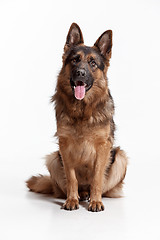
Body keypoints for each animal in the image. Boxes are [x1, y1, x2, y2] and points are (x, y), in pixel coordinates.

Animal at [26, 23, 129, 212]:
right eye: (75, 60)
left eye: (93, 63)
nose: (80, 73)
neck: (82, 110)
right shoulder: (64, 146)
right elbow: (72, 177)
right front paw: (71, 200)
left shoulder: (103, 147)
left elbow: (97, 178)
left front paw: (96, 201)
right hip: (53, 159)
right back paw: (80, 195)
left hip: (120, 157)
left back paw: (91, 196)